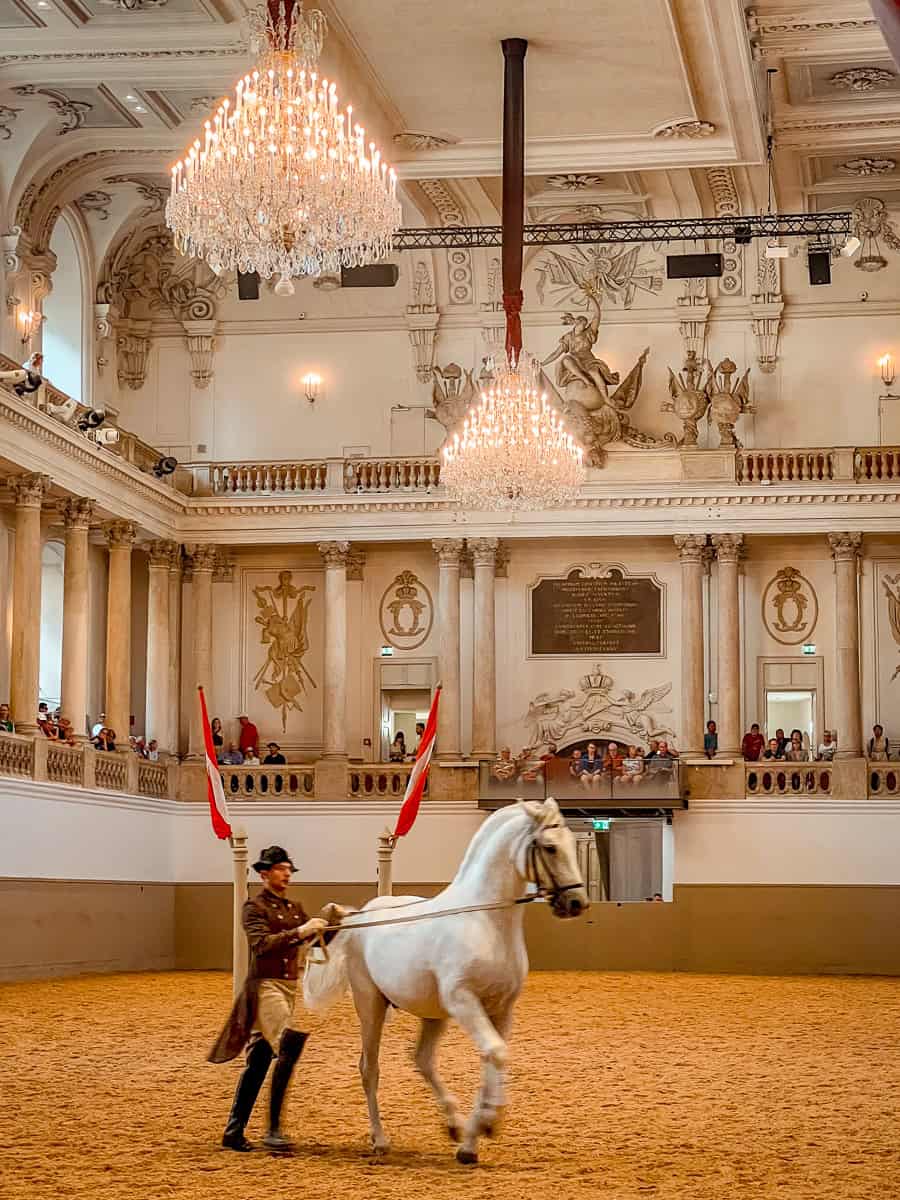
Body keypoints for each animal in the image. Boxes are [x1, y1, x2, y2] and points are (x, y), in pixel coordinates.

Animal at [303, 796, 592, 1161]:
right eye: (551, 847)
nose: (576, 903)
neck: (486, 922)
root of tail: (361, 915)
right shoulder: (463, 1001)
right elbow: (496, 1052)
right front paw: (488, 1121)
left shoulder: (501, 1009)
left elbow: (495, 1055)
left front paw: (474, 1137)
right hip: (370, 1003)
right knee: (369, 1068)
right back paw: (380, 1140)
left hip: (432, 1014)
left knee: (423, 1060)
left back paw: (453, 1123)